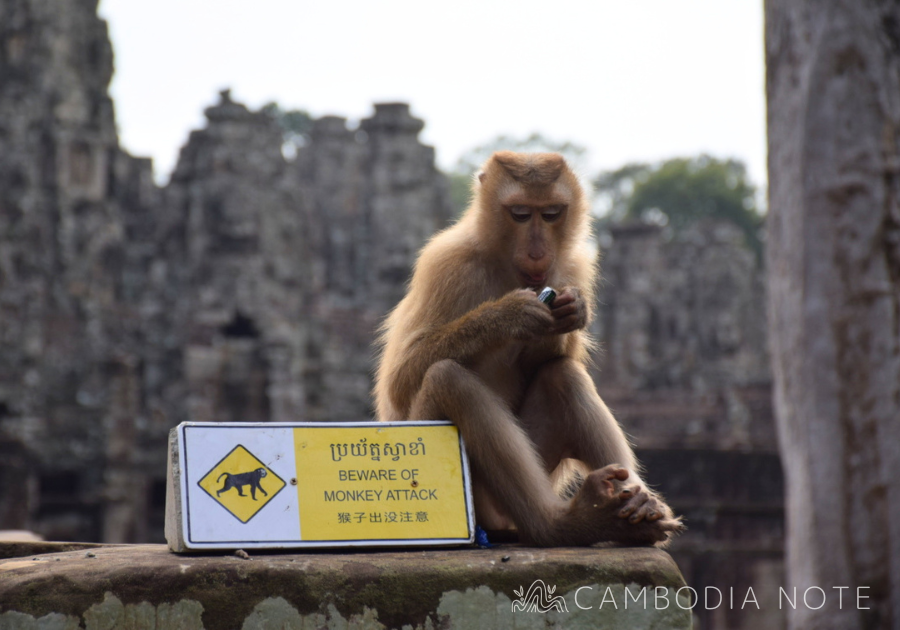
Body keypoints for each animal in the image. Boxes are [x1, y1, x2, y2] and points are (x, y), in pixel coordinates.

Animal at [373, 151, 684, 547]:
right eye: (520, 214)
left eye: (551, 213)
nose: (538, 253)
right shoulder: (446, 264)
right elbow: (400, 379)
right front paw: (507, 315)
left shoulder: (572, 267)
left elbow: (553, 357)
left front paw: (572, 311)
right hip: (473, 494)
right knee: (446, 379)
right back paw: (561, 523)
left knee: (562, 374)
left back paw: (638, 509)